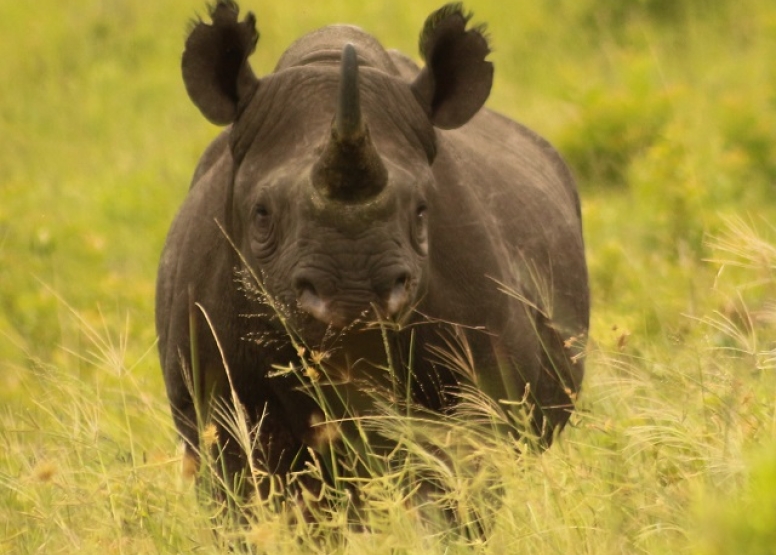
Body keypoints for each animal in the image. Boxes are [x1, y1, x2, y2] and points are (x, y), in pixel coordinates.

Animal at [161, 0, 592, 496]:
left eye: (422, 211)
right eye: (262, 215)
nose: (354, 297)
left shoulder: (491, 384)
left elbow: (457, 472)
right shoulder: (208, 396)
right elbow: (244, 484)